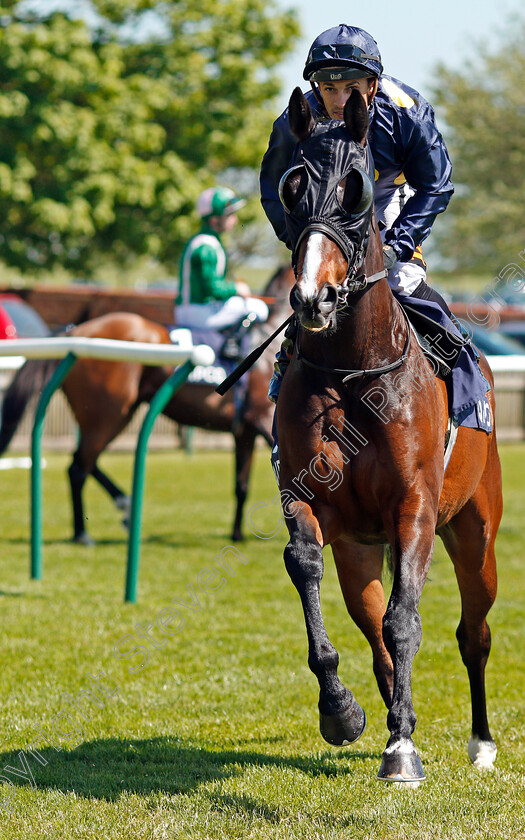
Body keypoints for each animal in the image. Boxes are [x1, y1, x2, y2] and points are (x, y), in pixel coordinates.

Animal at [0, 268, 292, 544]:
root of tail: (78, 331)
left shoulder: (244, 430)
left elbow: (241, 486)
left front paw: (237, 535)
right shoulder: (261, 418)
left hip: (110, 414)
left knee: (84, 461)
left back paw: (122, 507)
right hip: (108, 414)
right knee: (78, 467)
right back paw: (83, 533)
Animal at [274, 88, 500, 784]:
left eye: (356, 189)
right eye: (293, 186)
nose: (313, 298)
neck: (354, 371)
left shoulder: (416, 506)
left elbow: (408, 621)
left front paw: (402, 750)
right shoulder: (307, 499)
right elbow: (308, 569)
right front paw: (342, 712)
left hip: (476, 531)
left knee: (473, 631)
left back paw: (481, 742)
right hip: (359, 548)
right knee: (371, 622)